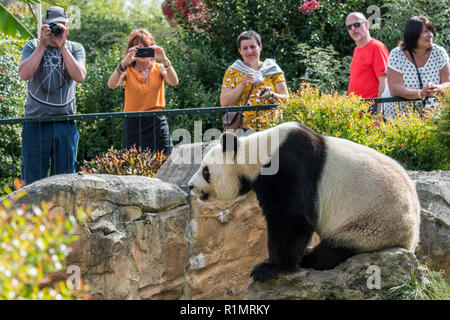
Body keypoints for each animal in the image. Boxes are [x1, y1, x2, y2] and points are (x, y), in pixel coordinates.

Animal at [187, 121, 422, 282]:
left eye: (205, 171)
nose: (190, 186)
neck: (257, 152)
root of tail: (411, 241)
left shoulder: (289, 168)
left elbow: (291, 220)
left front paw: (268, 268)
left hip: (372, 223)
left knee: (338, 247)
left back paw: (309, 257)